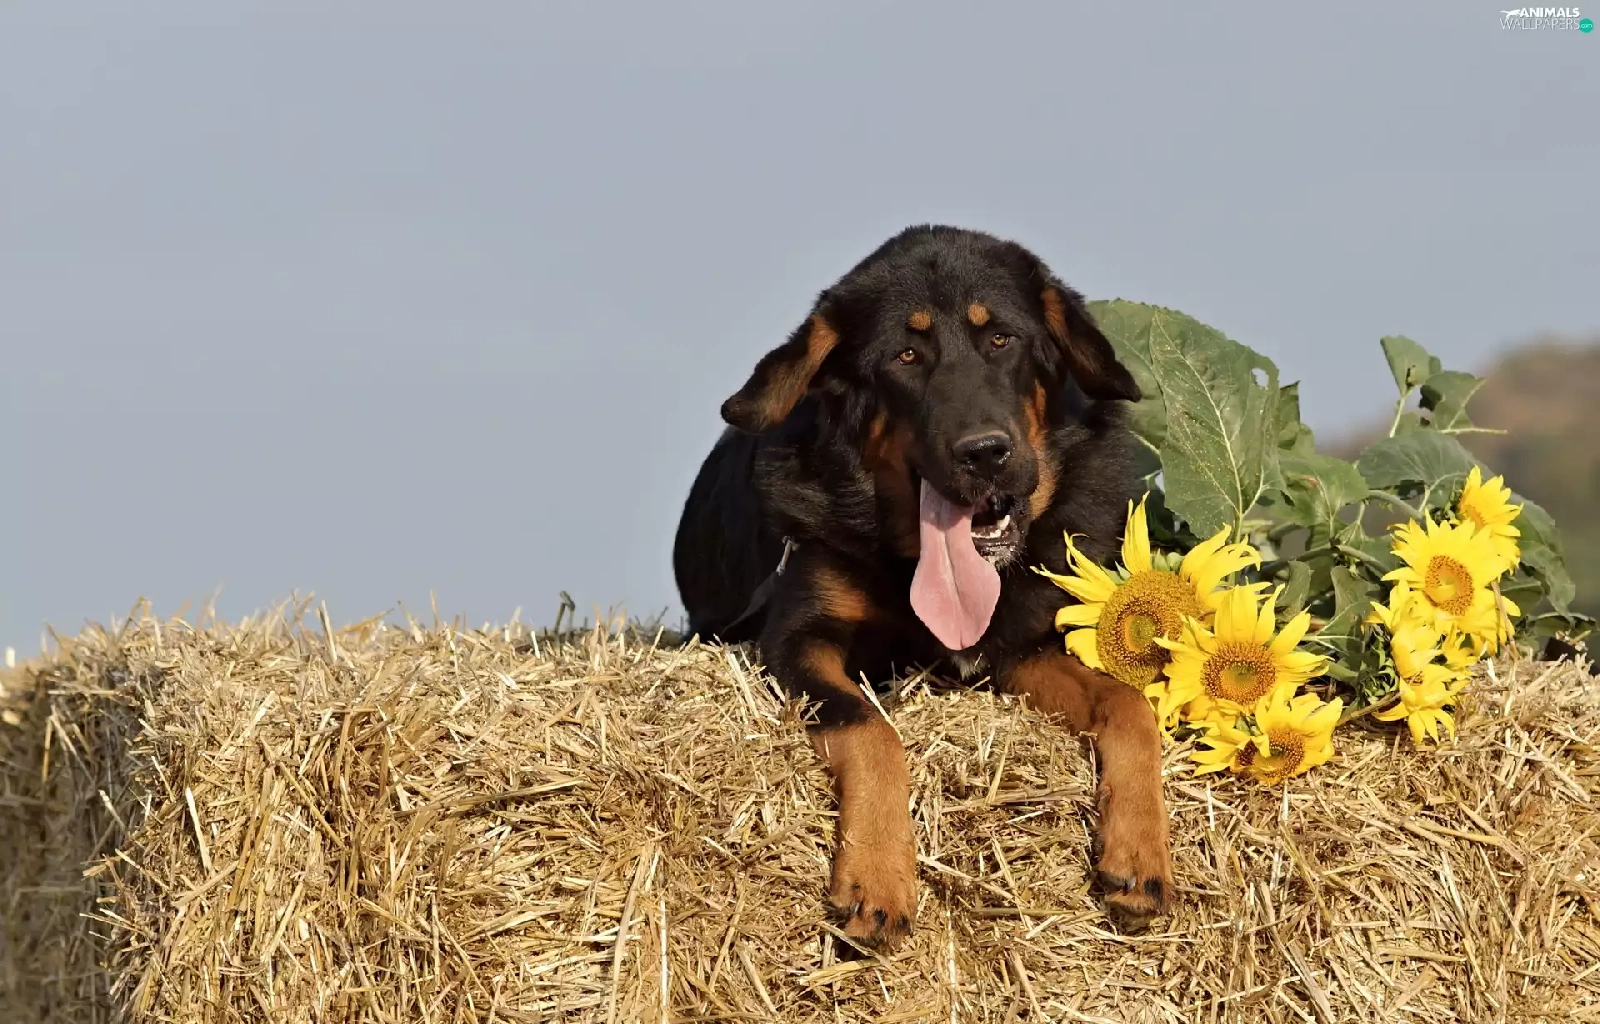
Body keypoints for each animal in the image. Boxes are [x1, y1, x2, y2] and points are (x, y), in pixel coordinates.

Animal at [672, 224, 1172, 949]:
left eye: (1002, 339)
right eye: (905, 355)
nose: (984, 452)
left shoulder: (1018, 650)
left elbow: (1130, 706)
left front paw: (1139, 852)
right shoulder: (798, 641)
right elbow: (872, 730)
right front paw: (878, 877)